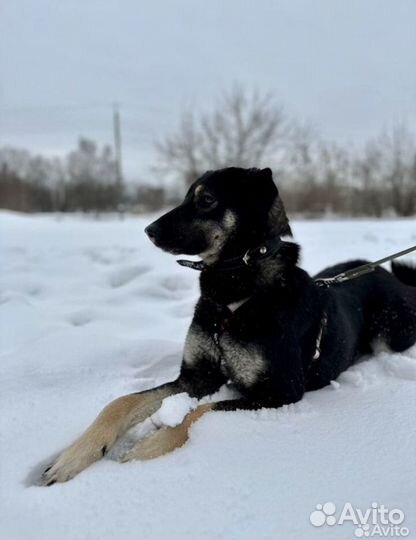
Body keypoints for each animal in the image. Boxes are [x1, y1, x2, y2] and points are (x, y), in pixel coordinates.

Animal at [36, 166, 416, 486]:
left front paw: (150, 446)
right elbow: (121, 403)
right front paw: (73, 456)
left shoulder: (279, 392)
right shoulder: (195, 377)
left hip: (390, 336)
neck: (233, 298)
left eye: (206, 200)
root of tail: (390, 276)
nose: (149, 231)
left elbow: (199, 412)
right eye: (185, 196)